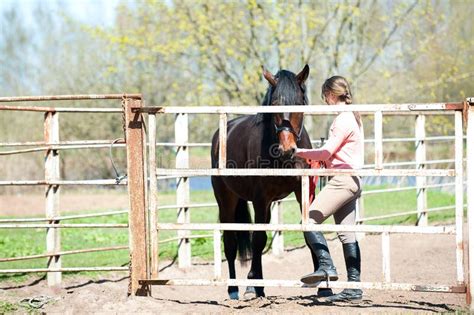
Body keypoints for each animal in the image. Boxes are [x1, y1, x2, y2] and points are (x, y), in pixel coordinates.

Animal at [211, 65, 318, 300]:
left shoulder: (301, 193)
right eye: (275, 104)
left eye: (299, 103)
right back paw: (235, 289)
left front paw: (323, 283)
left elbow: (309, 232)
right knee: (231, 244)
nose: (287, 149)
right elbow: (258, 240)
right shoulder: (260, 198)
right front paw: (257, 287)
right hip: (226, 200)